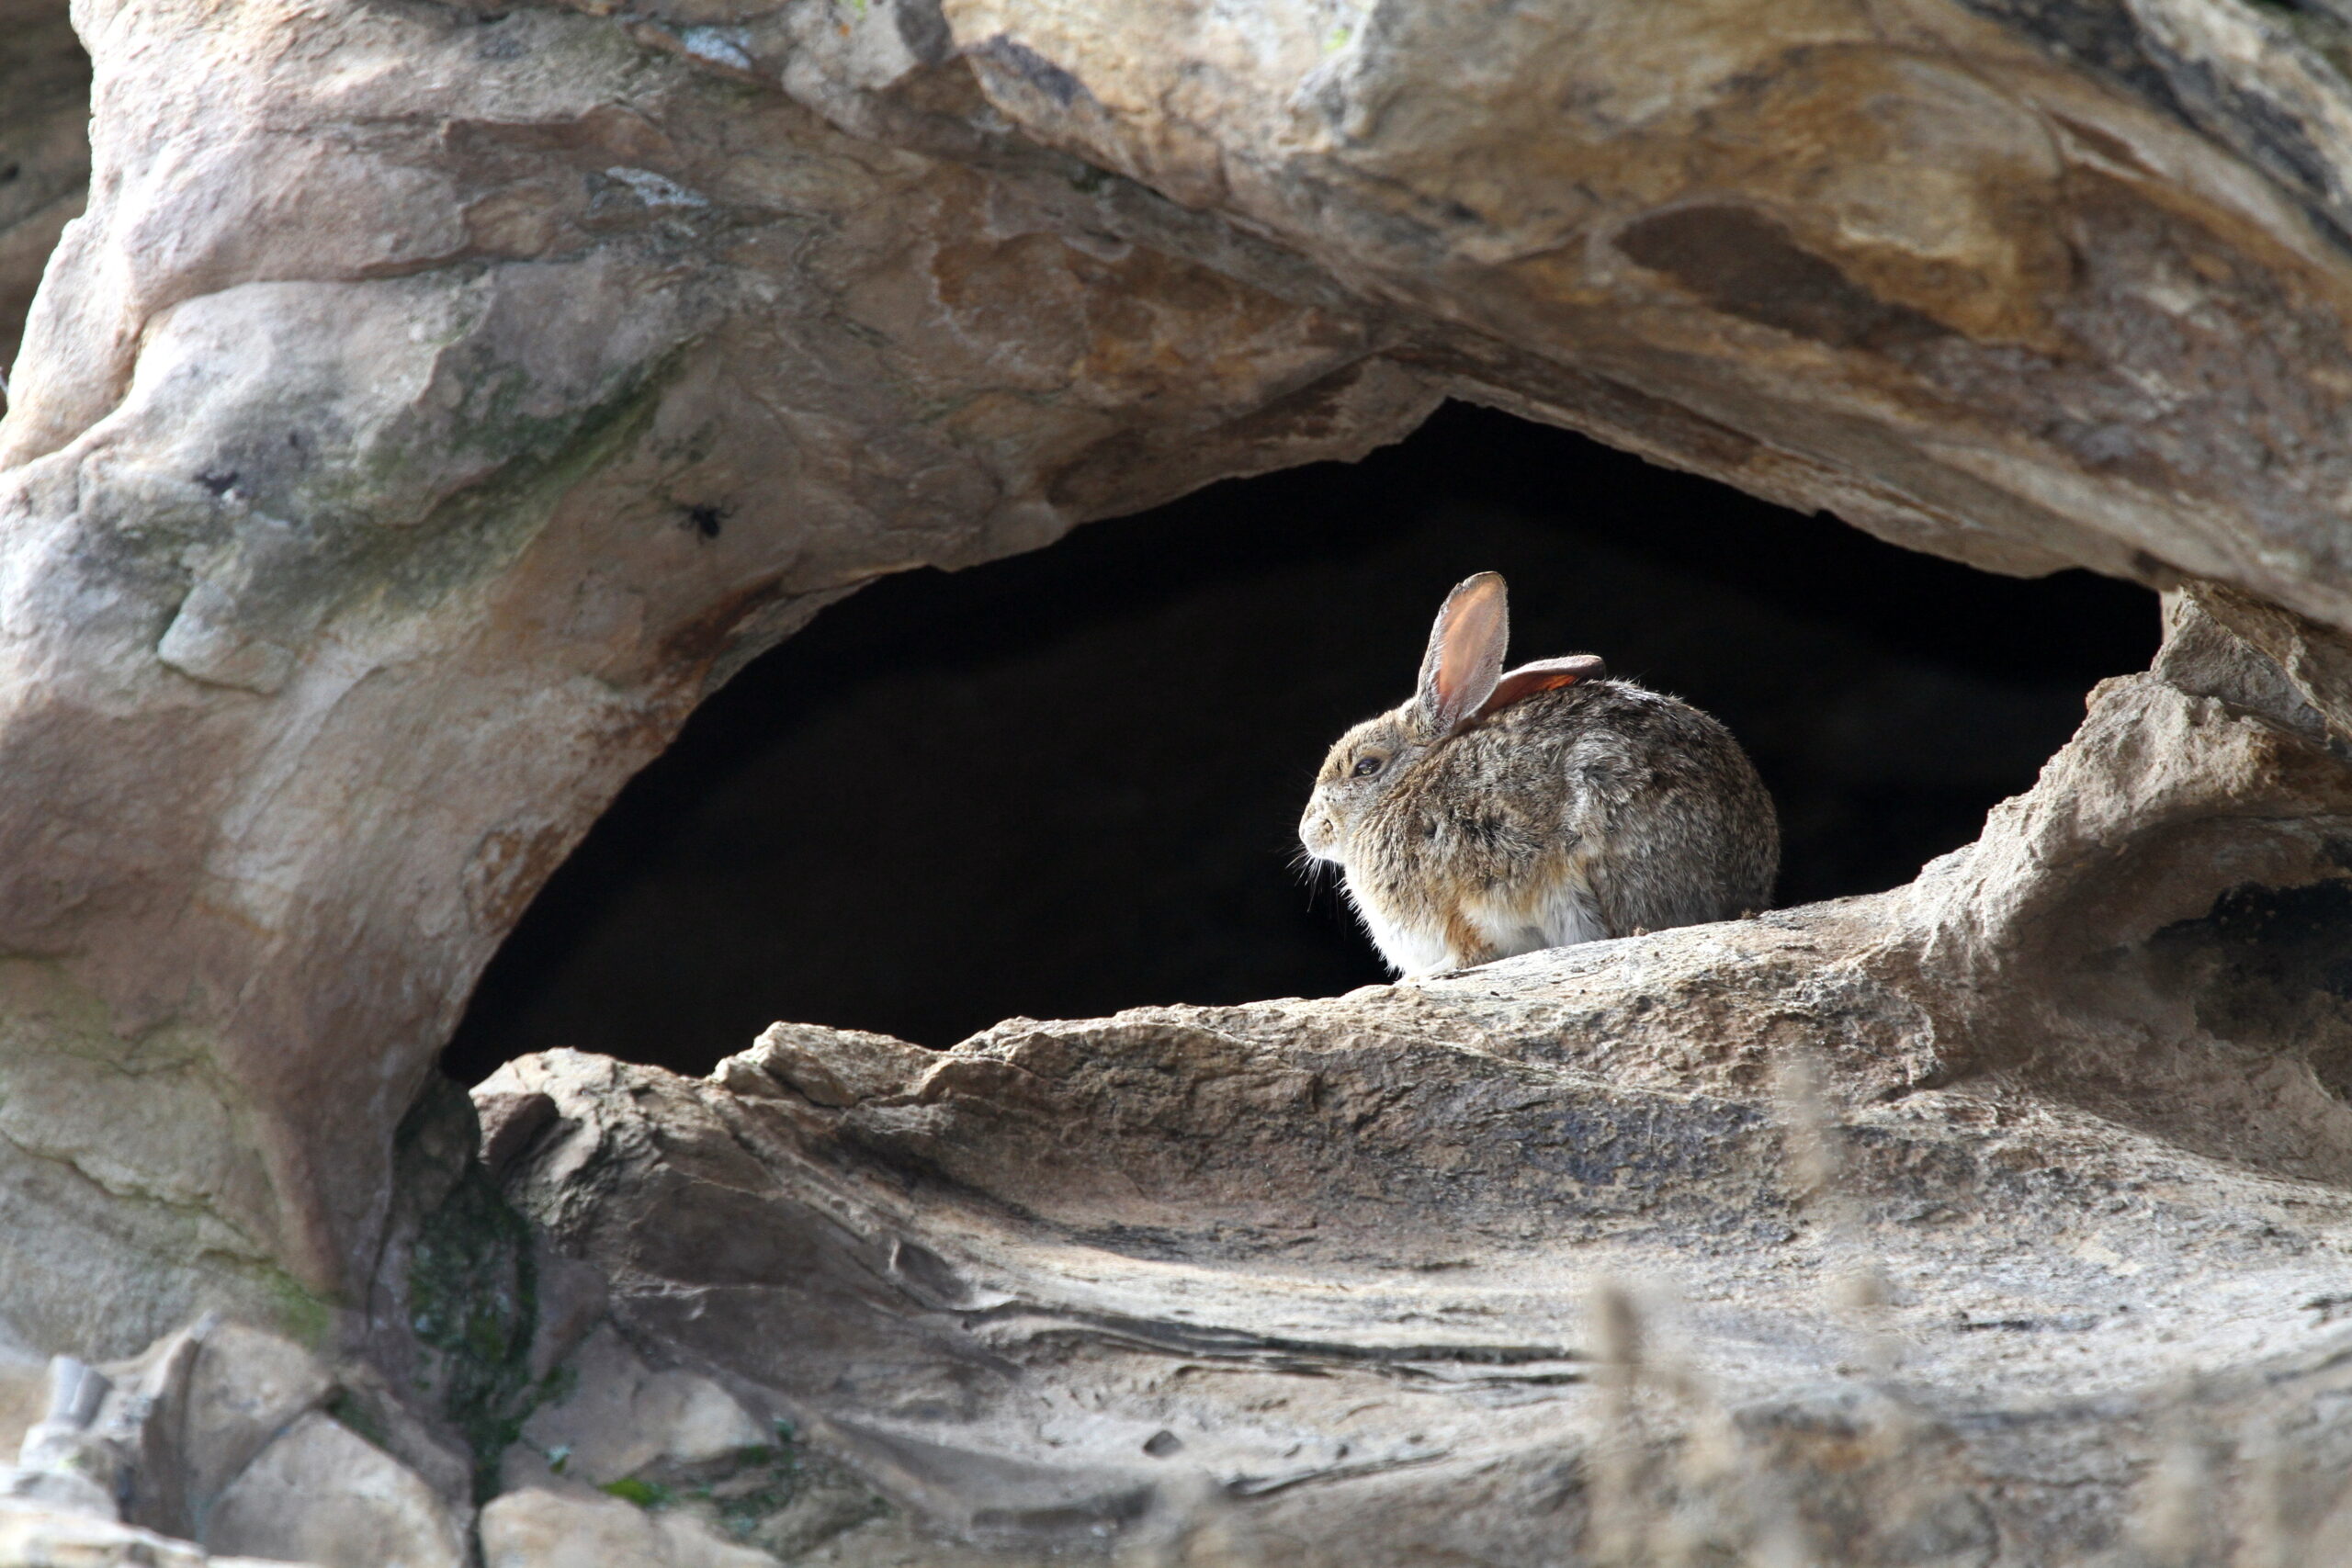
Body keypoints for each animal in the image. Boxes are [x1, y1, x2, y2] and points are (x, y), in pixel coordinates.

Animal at [1298, 570, 1769, 973]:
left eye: (1365, 767)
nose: (1308, 833)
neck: (1400, 791)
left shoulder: (1459, 905)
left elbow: (1470, 949)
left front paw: (1425, 976)